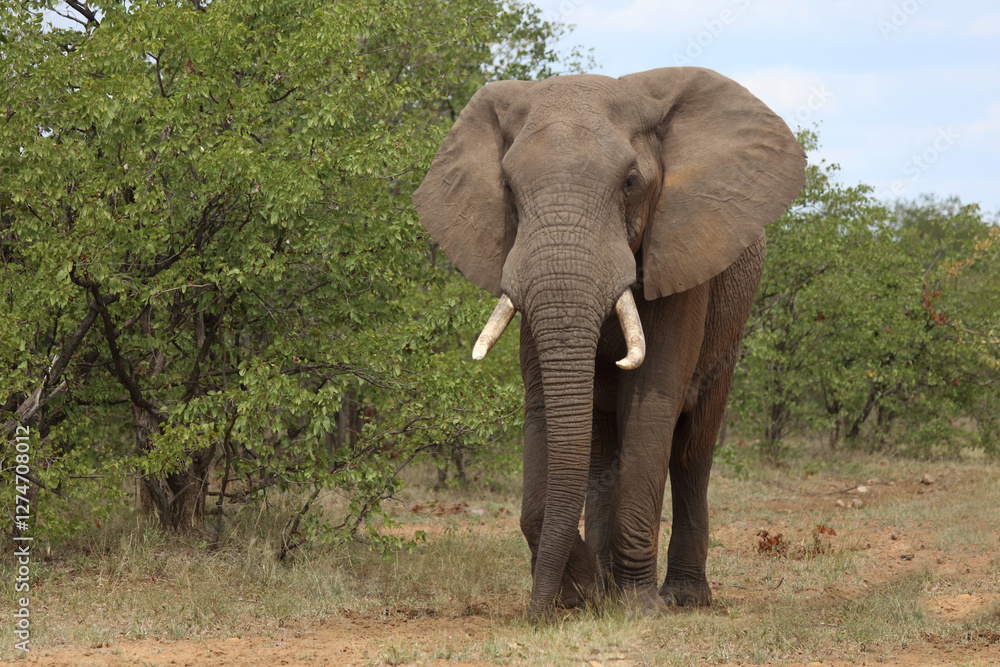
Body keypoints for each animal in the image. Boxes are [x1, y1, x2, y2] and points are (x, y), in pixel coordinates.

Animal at [413, 67, 805, 617]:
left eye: (631, 183)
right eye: (508, 187)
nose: (535, 613)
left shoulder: (680, 258)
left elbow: (651, 404)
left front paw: (636, 606)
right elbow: (544, 407)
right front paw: (581, 594)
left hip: (732, 324)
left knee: (692, 450)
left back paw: (682, 597)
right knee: (602, 449)